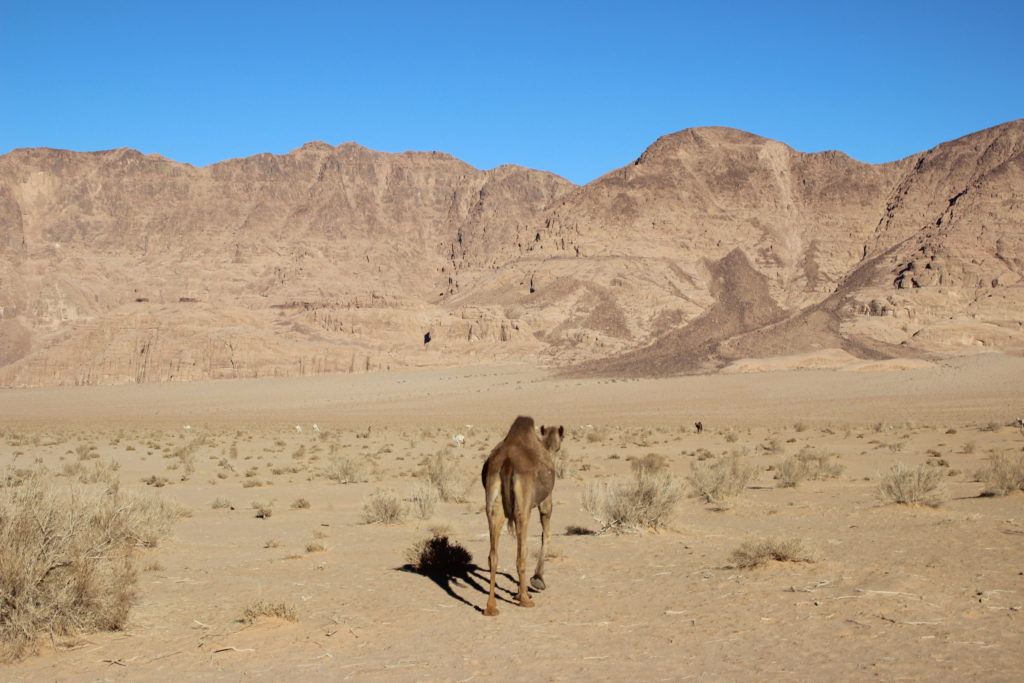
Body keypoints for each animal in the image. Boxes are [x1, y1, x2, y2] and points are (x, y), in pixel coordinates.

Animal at [480, 416, 563, 616]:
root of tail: (507, 462)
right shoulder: (545, 501)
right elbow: (546, 535)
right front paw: (537, 580)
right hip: (523, 507)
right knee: (521, 551)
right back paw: (525, 599)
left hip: (493, 502)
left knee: (493, 555)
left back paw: (491, 607)